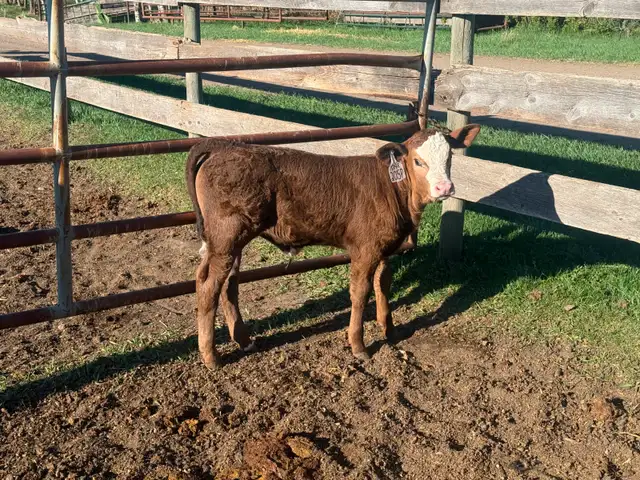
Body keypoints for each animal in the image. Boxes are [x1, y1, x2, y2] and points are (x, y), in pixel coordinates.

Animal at [186, 124, 481, 369]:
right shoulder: (365, 249)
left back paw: (244, 340)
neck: (391, 188)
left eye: (450, 158)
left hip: (228, 242)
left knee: (226, 283)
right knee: (209, 286)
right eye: (419, 161)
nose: (444, 188)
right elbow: (360, 293)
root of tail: (223, 147)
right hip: (227, 235)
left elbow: (383, 284)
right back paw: (211, 356)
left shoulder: (385, 247)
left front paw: (390, 330)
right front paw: (359, 345)